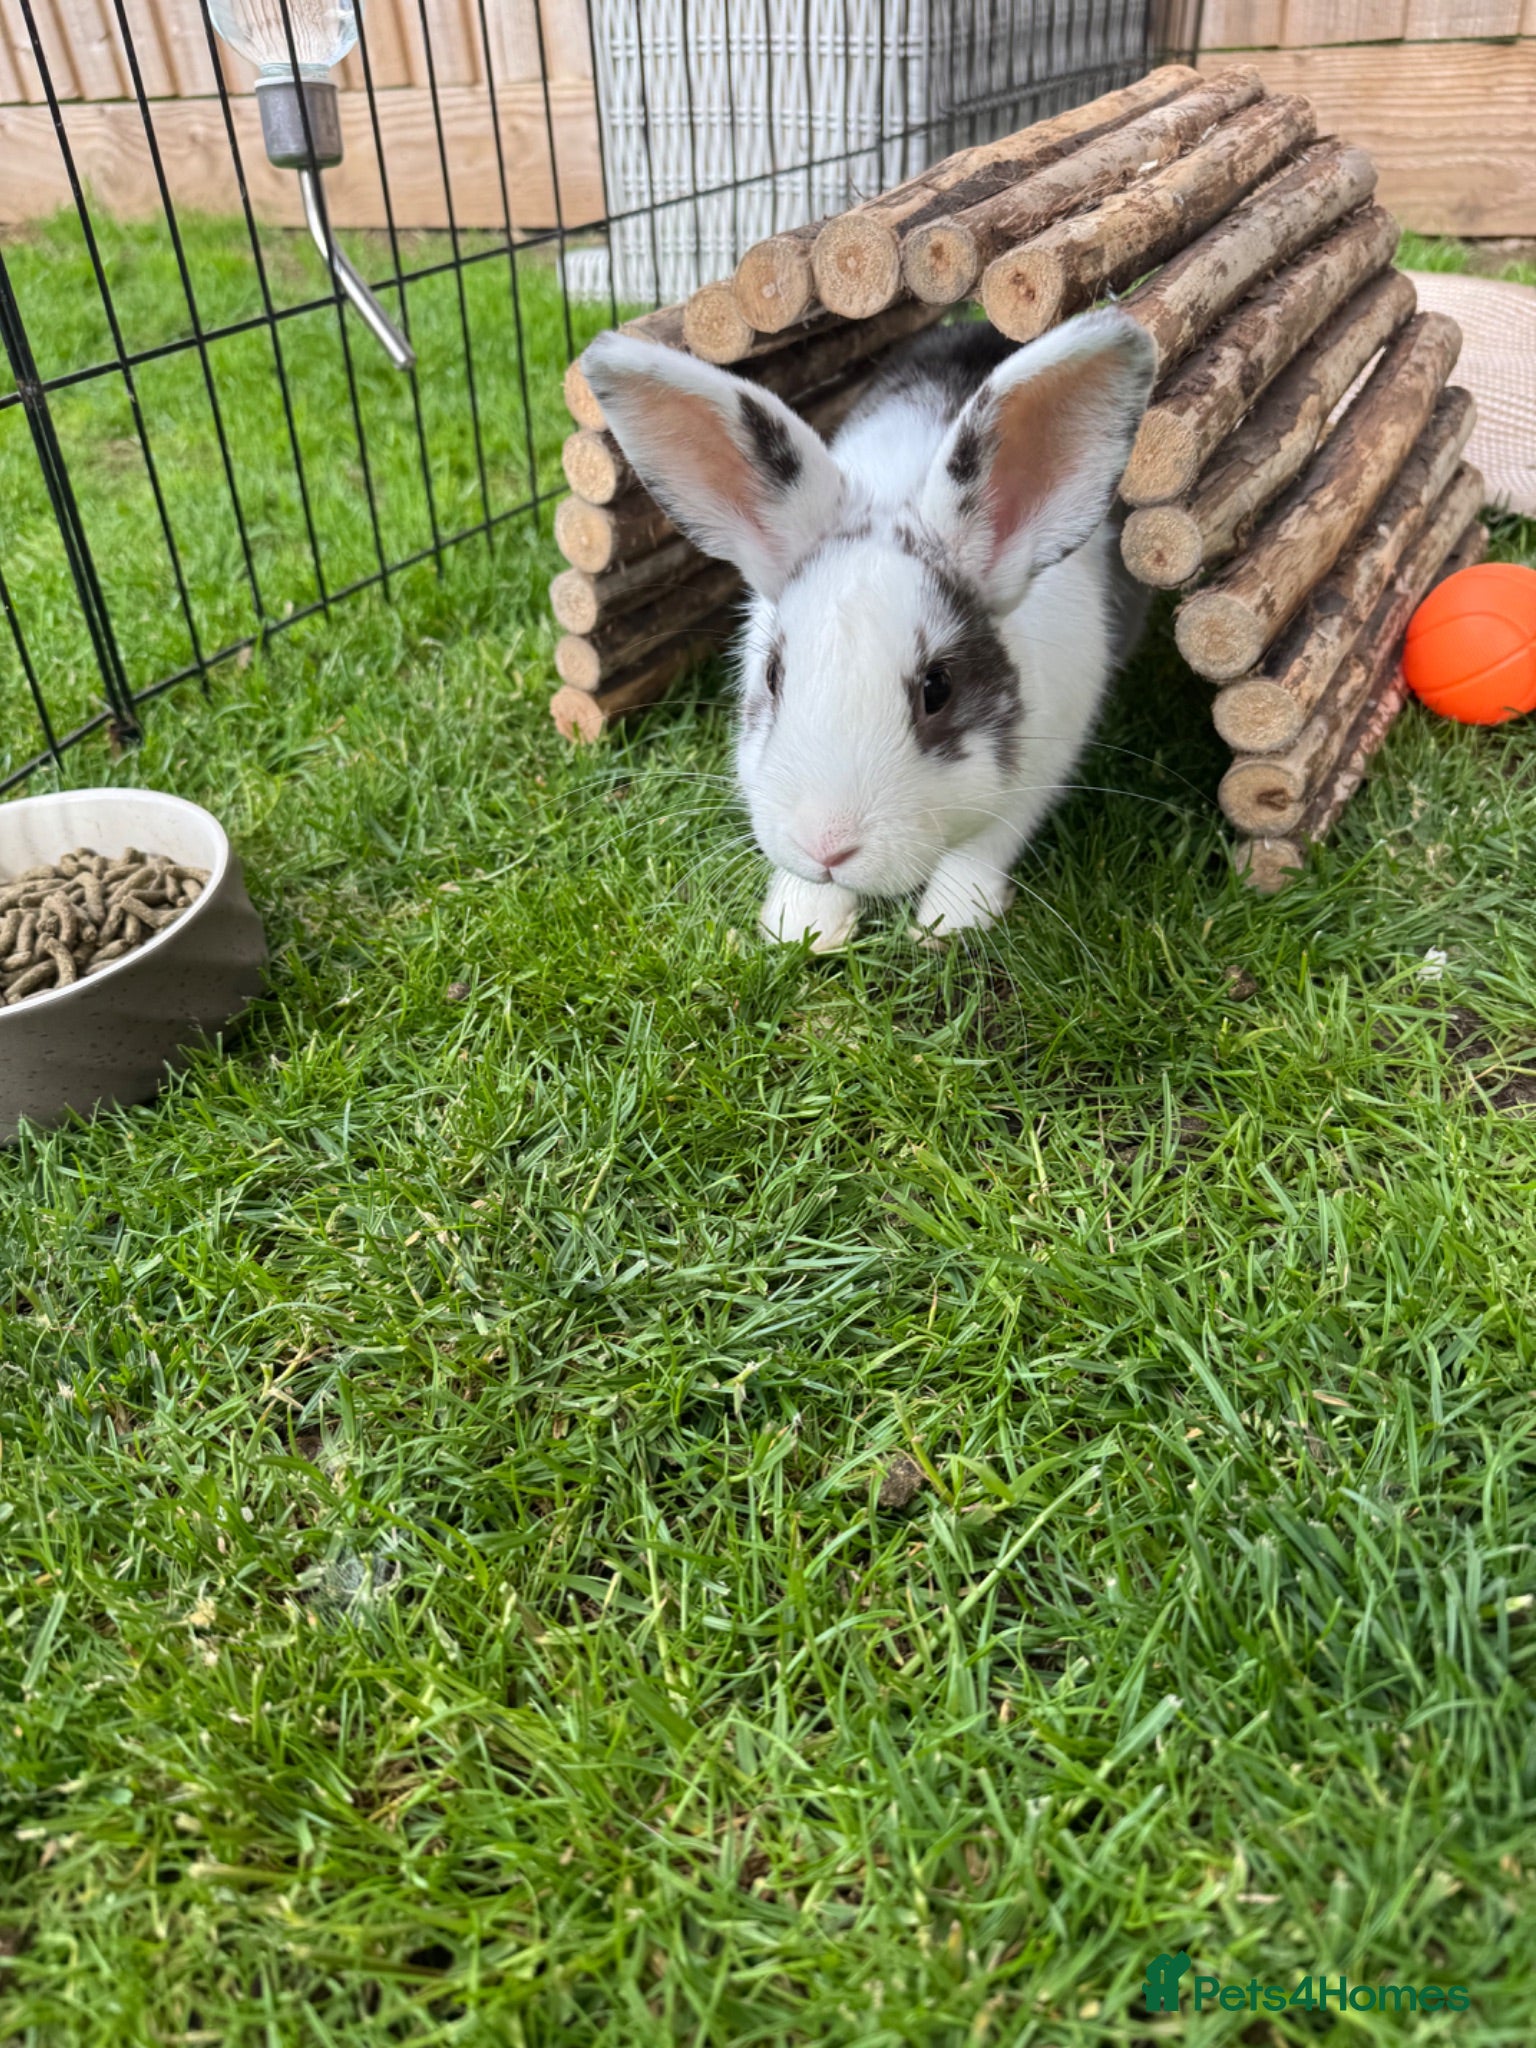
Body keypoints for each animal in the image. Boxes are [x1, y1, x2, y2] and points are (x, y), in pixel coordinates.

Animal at [581, 307, 1156, 950]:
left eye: (938, 688)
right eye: (773, 676)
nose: (827, 846)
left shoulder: (1036, 775)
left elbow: (980, 851)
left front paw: (947, 925)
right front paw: (801, 926)